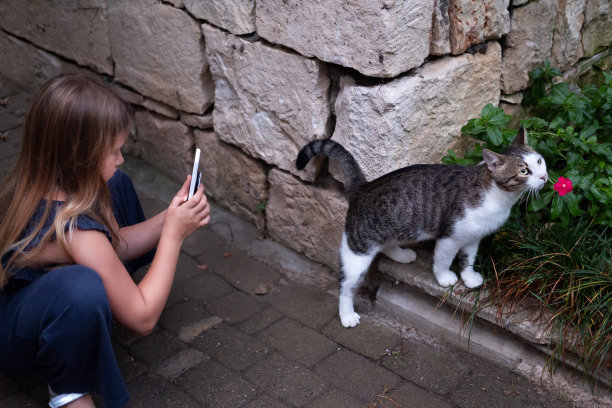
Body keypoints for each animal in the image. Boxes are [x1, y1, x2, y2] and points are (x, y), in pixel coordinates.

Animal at [294, 127, 548, 328]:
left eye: (539, 161)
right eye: (523, 171)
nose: (545, 177)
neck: (499, 196)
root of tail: (363, 187)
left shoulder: (474, 236)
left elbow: (468, 258)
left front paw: (469, 277)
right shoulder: (450, 235)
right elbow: (443, 260)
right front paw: (445, 278)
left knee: (387, 243)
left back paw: (402, 255)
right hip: (358, 251)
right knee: (346, 285)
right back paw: (347, 315)